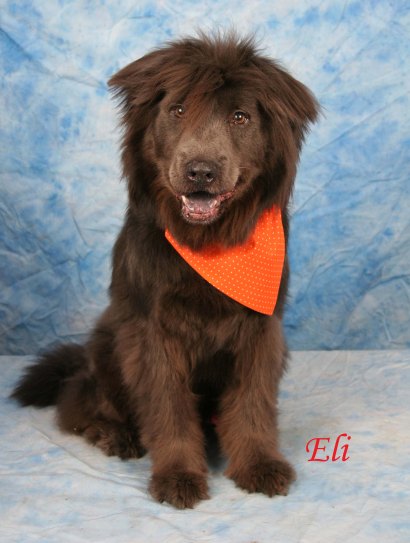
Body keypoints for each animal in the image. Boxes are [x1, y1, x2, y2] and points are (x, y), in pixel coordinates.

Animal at [12, 33, 319, 508]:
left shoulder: (261, 330)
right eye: (177, 111)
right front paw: (178, 475)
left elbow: (251, 401)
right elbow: (169, 409)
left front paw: (258, 464)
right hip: (107, 343)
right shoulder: (153, 333)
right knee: (79, 402)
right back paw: (114, 433)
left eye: (240, 117)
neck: (209, 245)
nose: (200, 171)